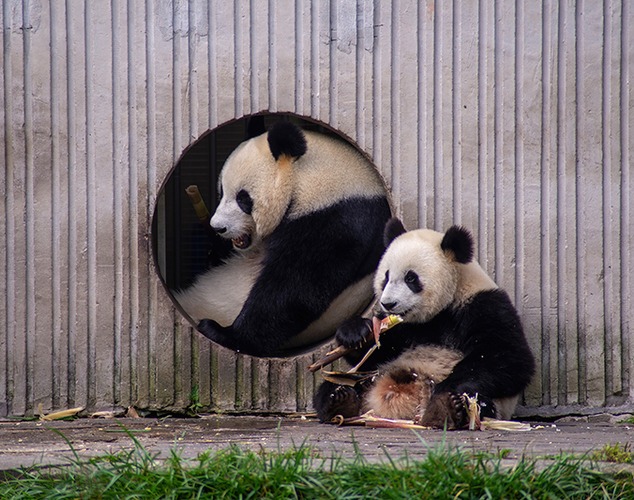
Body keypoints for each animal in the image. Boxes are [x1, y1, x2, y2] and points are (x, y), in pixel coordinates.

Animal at [153, 112, 390, 360]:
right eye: (221, 192)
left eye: (243, 199)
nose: (218, 228)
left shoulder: (337, 218)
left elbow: (293, 287)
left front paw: (223, 333)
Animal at [312, 217, 532, 428]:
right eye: (386, 277)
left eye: (411, 278)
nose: (388, 303)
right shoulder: (404, 328)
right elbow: (376, 352)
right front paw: (356, 333)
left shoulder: (484, 306)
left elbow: (509, 359)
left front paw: (446, 388)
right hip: (370, 378)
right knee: (336, 384)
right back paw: (340, 401)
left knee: (475, 400)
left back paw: (446, 407)